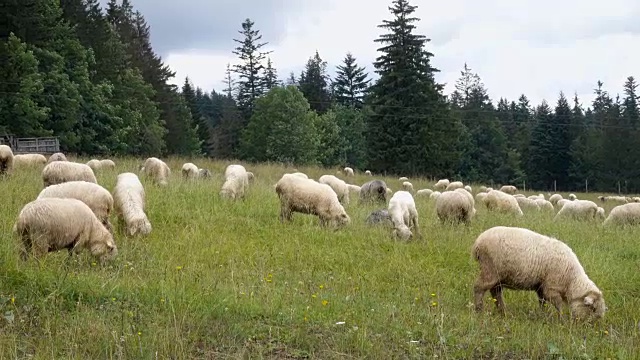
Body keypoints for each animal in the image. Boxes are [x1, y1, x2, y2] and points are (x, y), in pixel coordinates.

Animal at [472, 226, 608, 322]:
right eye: (592, 308)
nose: (587, 327)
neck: (571, 279)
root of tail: (477, 242)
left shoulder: (541, 287)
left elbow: (542, 302)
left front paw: (543, 315)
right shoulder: (551, 287)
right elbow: (558, 304)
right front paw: (561, 320)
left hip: (497, 276)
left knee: (496, 293)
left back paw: (503, 312)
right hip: (489, 270)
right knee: (479, 288)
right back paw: (479, 310)